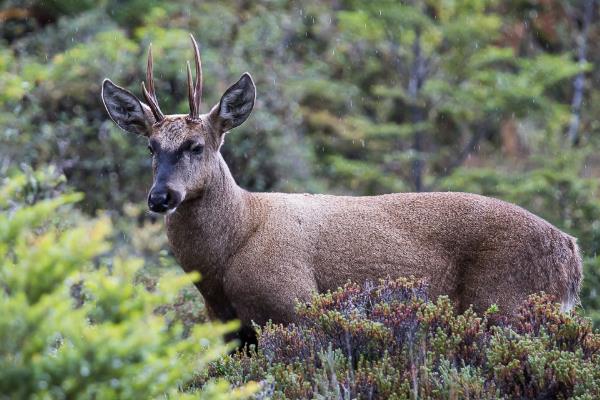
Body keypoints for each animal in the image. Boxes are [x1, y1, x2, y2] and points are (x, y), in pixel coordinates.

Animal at [102, 36, 580, 346]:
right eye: (150, 147)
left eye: (196, 145)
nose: (160, 197)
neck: (231, 247)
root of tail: (570, 252)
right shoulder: (227, 326)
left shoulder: (293, 303)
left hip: (509, 304)